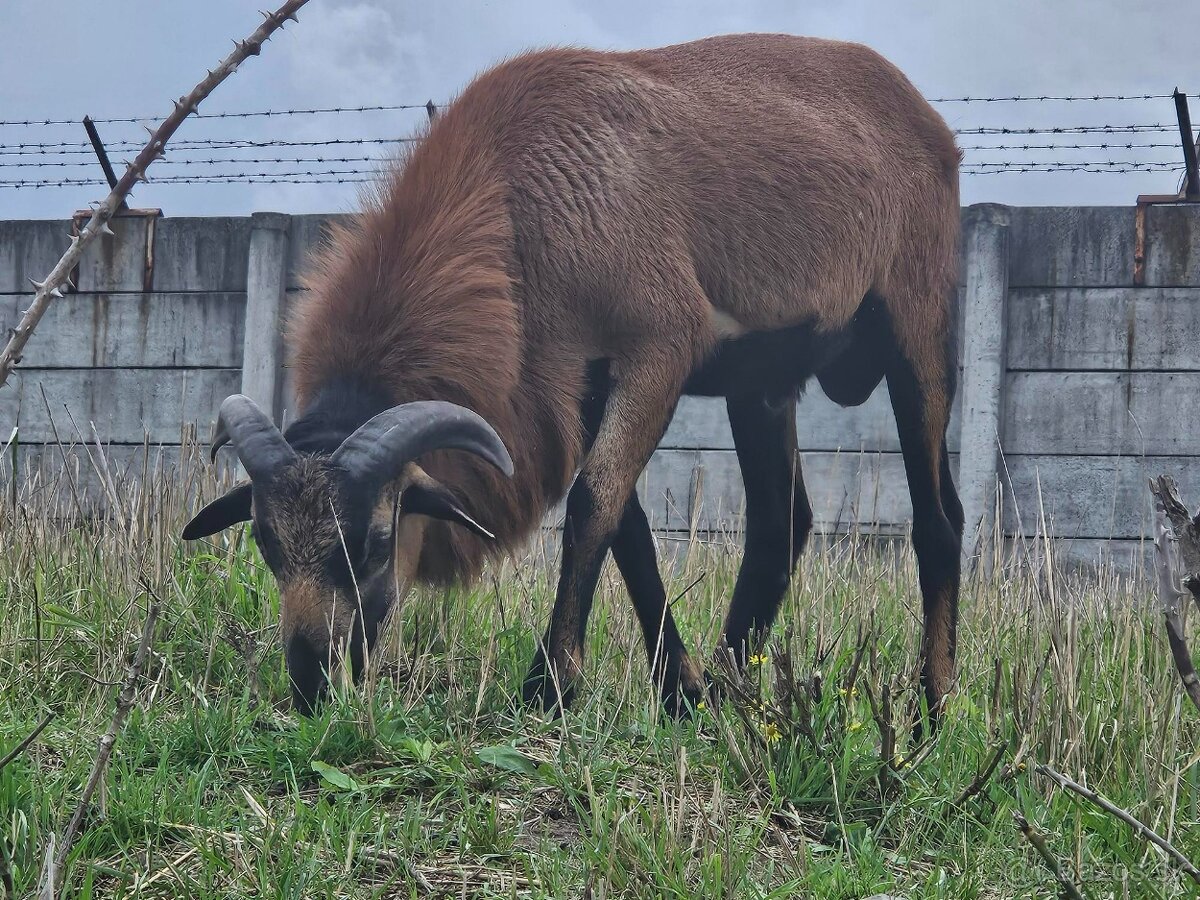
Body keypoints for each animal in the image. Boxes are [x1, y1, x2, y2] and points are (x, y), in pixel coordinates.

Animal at [182, 31, 960, 729]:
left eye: (374, 540)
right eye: (266, 543)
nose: (311, 683)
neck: (509, 210)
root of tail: (926, 116)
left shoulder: (660, 347)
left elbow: (591, 506)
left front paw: (550, 686)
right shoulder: (574, 385)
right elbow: (629, 533)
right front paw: (681, 695)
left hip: (915, 329)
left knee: (938, 519)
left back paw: (931, 711)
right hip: (763, 380)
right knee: (780, 524)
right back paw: (732, 690)